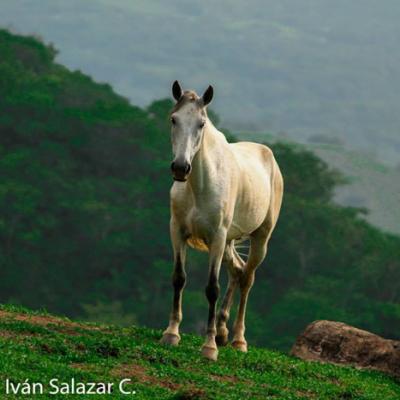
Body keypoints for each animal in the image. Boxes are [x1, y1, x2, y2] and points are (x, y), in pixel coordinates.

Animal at [161, 79, 282, 360]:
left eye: (201, 124)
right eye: (174, 119)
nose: (180, 168)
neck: (201, 184)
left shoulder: (216, 237)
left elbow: (211, 288)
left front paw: (209, 348)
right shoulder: (177, 231)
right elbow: (178, 278)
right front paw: (171, 334)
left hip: (259, 239)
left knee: (247, 278)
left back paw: (238, 340)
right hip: (228, 242)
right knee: (237, 270)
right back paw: (223, 332)